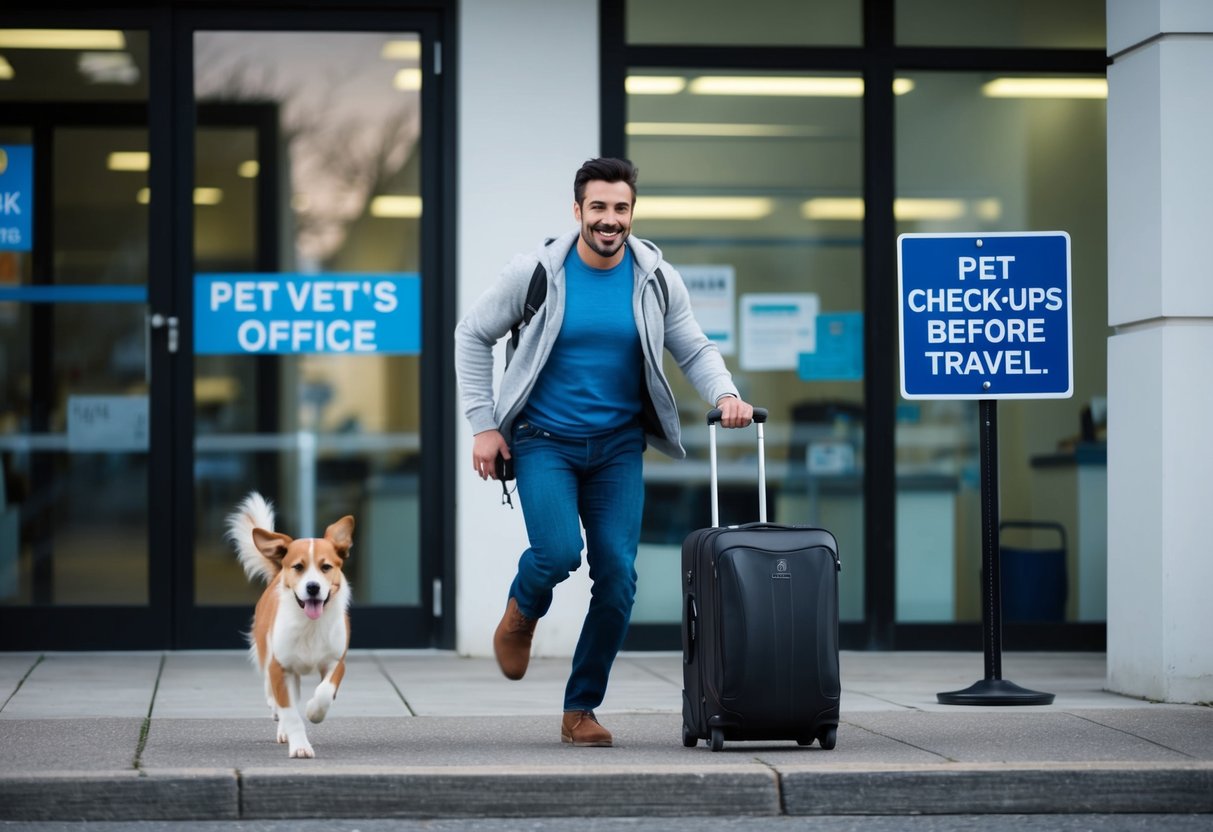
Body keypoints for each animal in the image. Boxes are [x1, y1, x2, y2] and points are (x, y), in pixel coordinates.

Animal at [225, 494, 354, 761]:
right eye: (298, 567)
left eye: (326, 567)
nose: (313, 587)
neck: (310, 626)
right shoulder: (279, 667)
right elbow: (291, 712)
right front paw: (300, 746)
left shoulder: (336, 662)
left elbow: (325, 691)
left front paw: (314, 710)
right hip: (269, 655)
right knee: (276, 697)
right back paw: (280, 721)